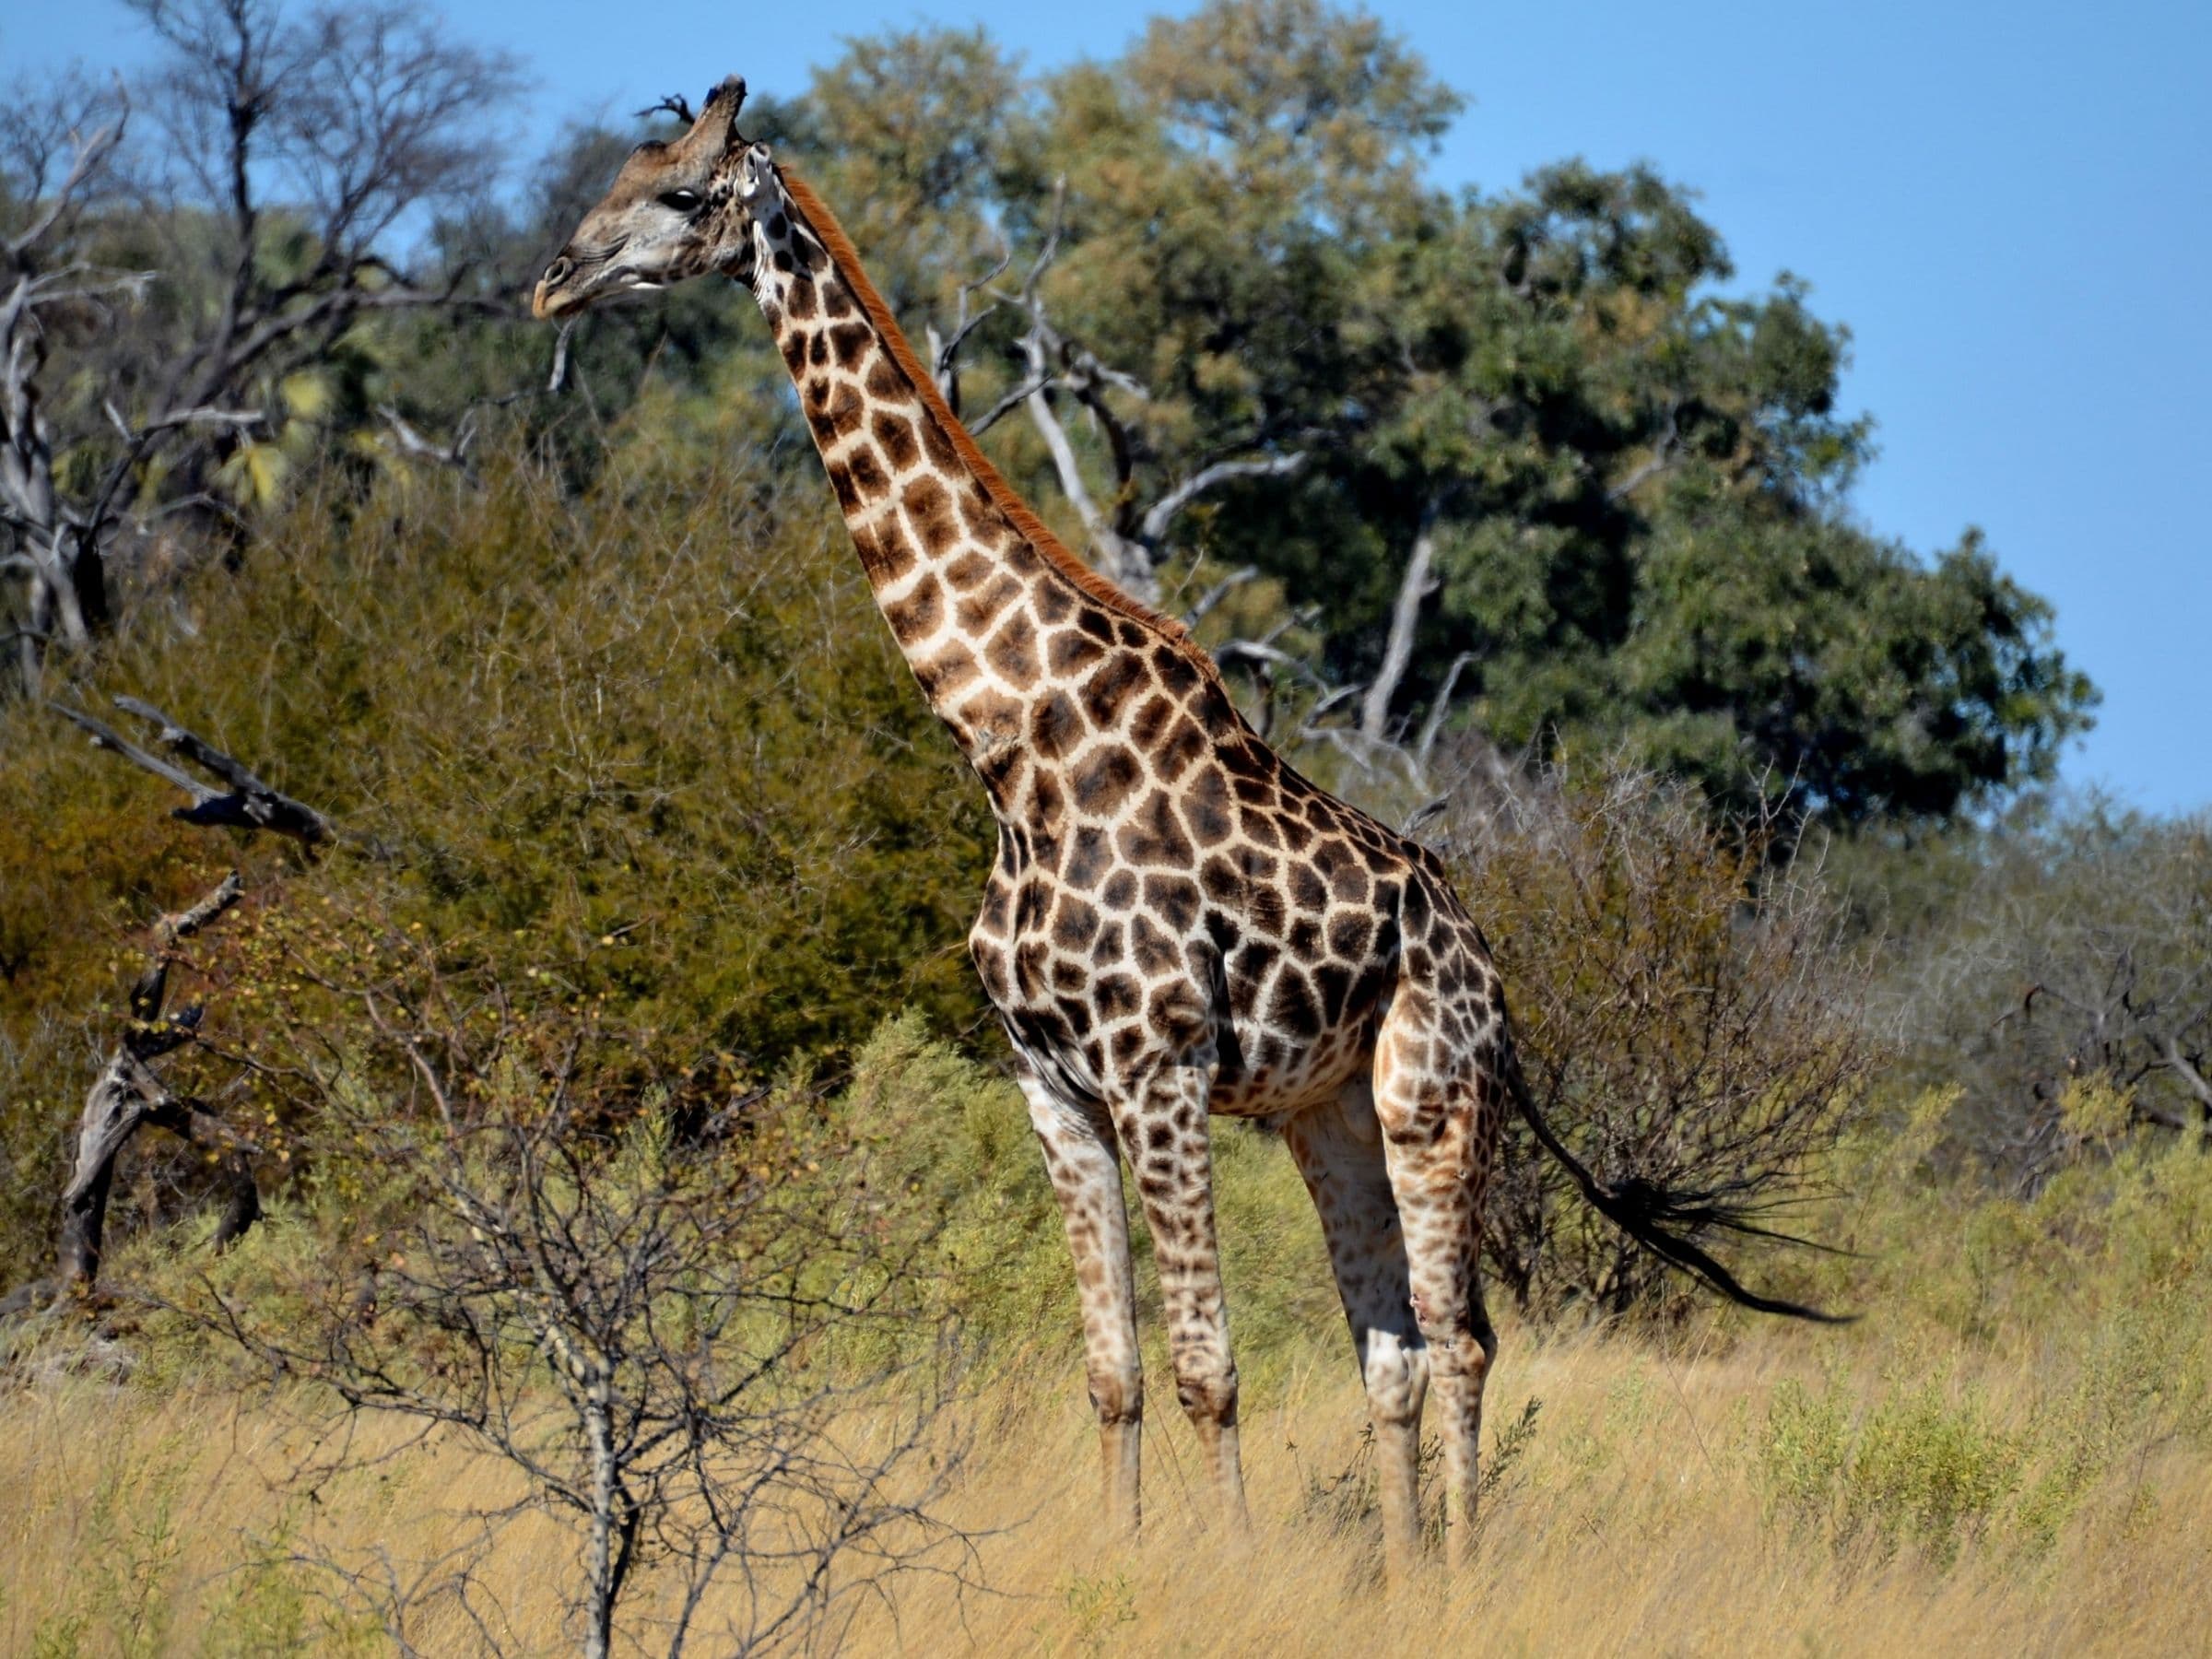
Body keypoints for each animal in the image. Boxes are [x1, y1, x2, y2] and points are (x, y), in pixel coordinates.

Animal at [532, 77, 1836, 1575]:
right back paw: (1400, 1573)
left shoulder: (1156, 1067)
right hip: (1327, 1114)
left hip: (1431, 1095)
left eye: (685, 193)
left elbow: (1212, 1366)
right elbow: (1115, 1371)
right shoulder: (1048, 1081)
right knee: (1391, 1349)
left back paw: (1458, 1572)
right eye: (623, 172)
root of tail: (1492, 969)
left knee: (1462, 1339)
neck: (1012, 746)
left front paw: (1231, 1570)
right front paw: (1128, 1559)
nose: (551, 281)